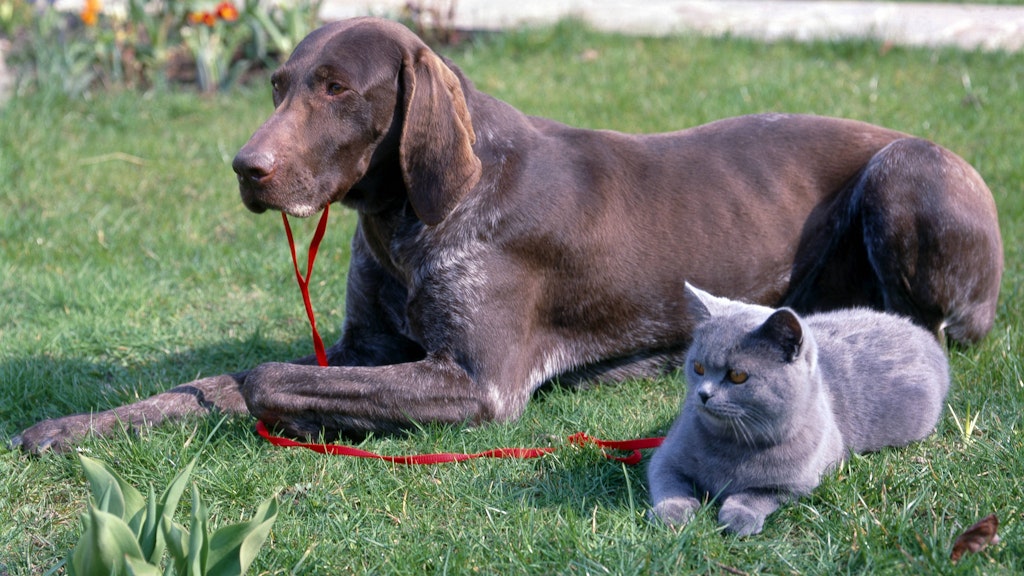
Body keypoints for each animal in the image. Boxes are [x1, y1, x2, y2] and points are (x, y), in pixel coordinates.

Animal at [14, 17, 999, 453]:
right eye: (280, 85)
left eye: (337, 89)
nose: (245, 168)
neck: (407, 221)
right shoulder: (364, 347)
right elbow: (207, 382)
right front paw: (73, 425)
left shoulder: (478, 386)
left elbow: (262, 377)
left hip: (906, 168)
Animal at [647, 282, 950, 532]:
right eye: (697, 367)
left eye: (738, 376)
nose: (703, 394)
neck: (735, 444)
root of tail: (922, 334)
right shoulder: (664, 458)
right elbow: (670, 482)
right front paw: (674, 513)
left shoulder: (799, 482)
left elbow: (756, 494)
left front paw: (739, 516)